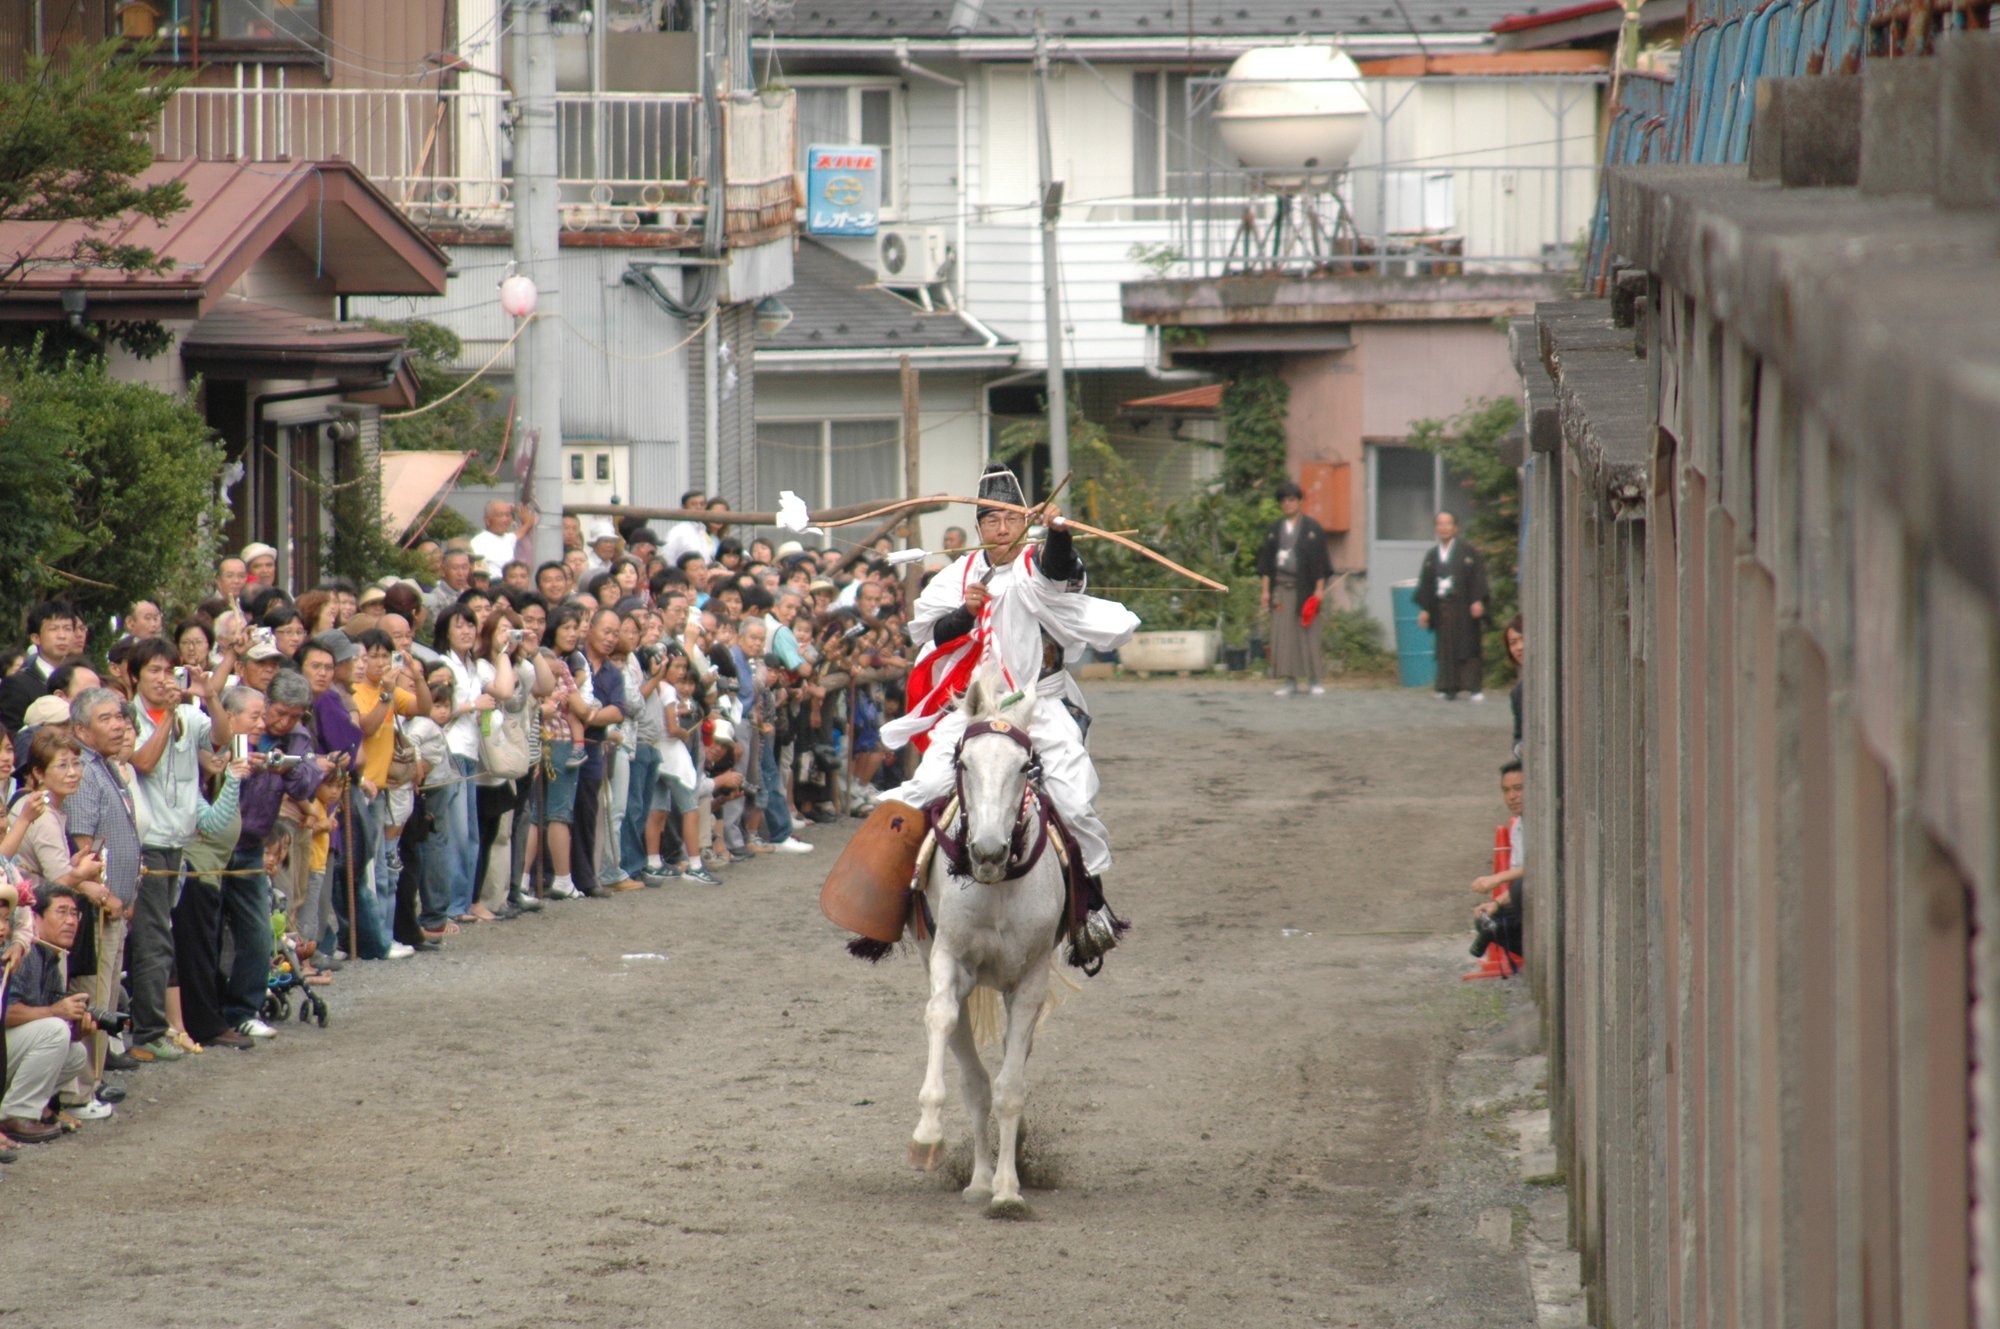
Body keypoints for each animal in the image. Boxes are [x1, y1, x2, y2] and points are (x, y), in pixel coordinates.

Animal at [908, 668, 1072, 1216]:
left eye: (1025, 766)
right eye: (964, 761)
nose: (987, 851)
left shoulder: (1030, 981)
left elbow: (1011, 1089)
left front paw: (1008, 1190)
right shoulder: (948, 960)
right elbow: (940, 1019)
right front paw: (927, 1134)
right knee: (974, 1080)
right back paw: (977, 1177)